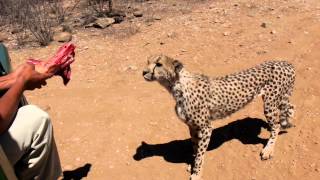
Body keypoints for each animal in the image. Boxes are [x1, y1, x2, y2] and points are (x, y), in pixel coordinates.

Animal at [142, 54, 296, 180]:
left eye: (159, 64)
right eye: (147, 61)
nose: (144, 72)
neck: (177, 85)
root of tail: (285, 63)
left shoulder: (206, 127)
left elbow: (200, 153)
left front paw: (197, 173)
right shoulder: (192, 127)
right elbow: (195, 147)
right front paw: (193, 164)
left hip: (270, 103)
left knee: (276, 125)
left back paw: (268, 150)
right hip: (280, 99)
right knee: (291, 108)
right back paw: (287, 123)